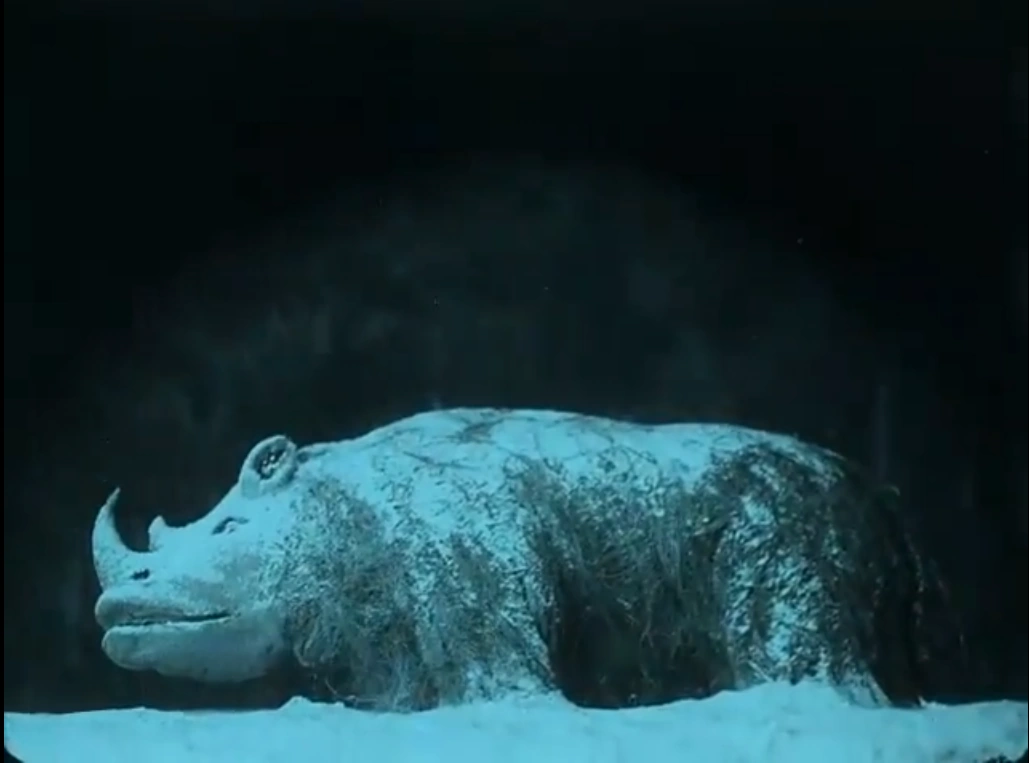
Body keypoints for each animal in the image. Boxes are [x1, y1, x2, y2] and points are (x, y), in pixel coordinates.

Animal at [91, 407, 966, 711]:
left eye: (229, 529)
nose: (119, 598)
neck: (333, 506)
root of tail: (878, 496)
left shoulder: (462, 555)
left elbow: (504, 684)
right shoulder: (375, 632)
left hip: (782, 522)